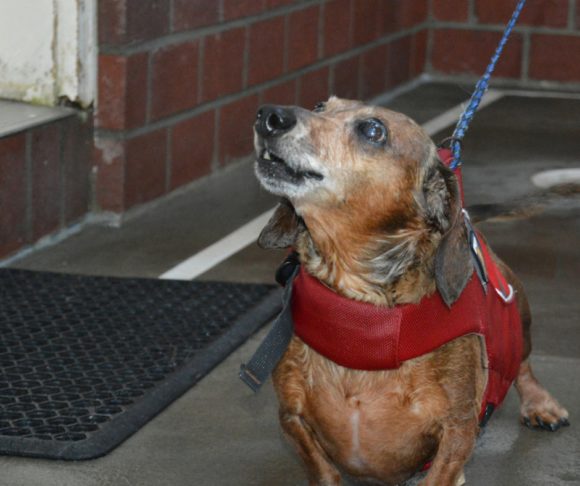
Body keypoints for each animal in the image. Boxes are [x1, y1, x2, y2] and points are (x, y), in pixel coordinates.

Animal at [251, 98, 568, 486]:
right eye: (320, 105)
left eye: (373, 130)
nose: (269, 115)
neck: (363, 312)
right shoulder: (292, 418)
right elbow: (322, 468)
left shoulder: (457, 431)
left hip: (519, 319)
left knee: (522, 364)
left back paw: (541, 404)